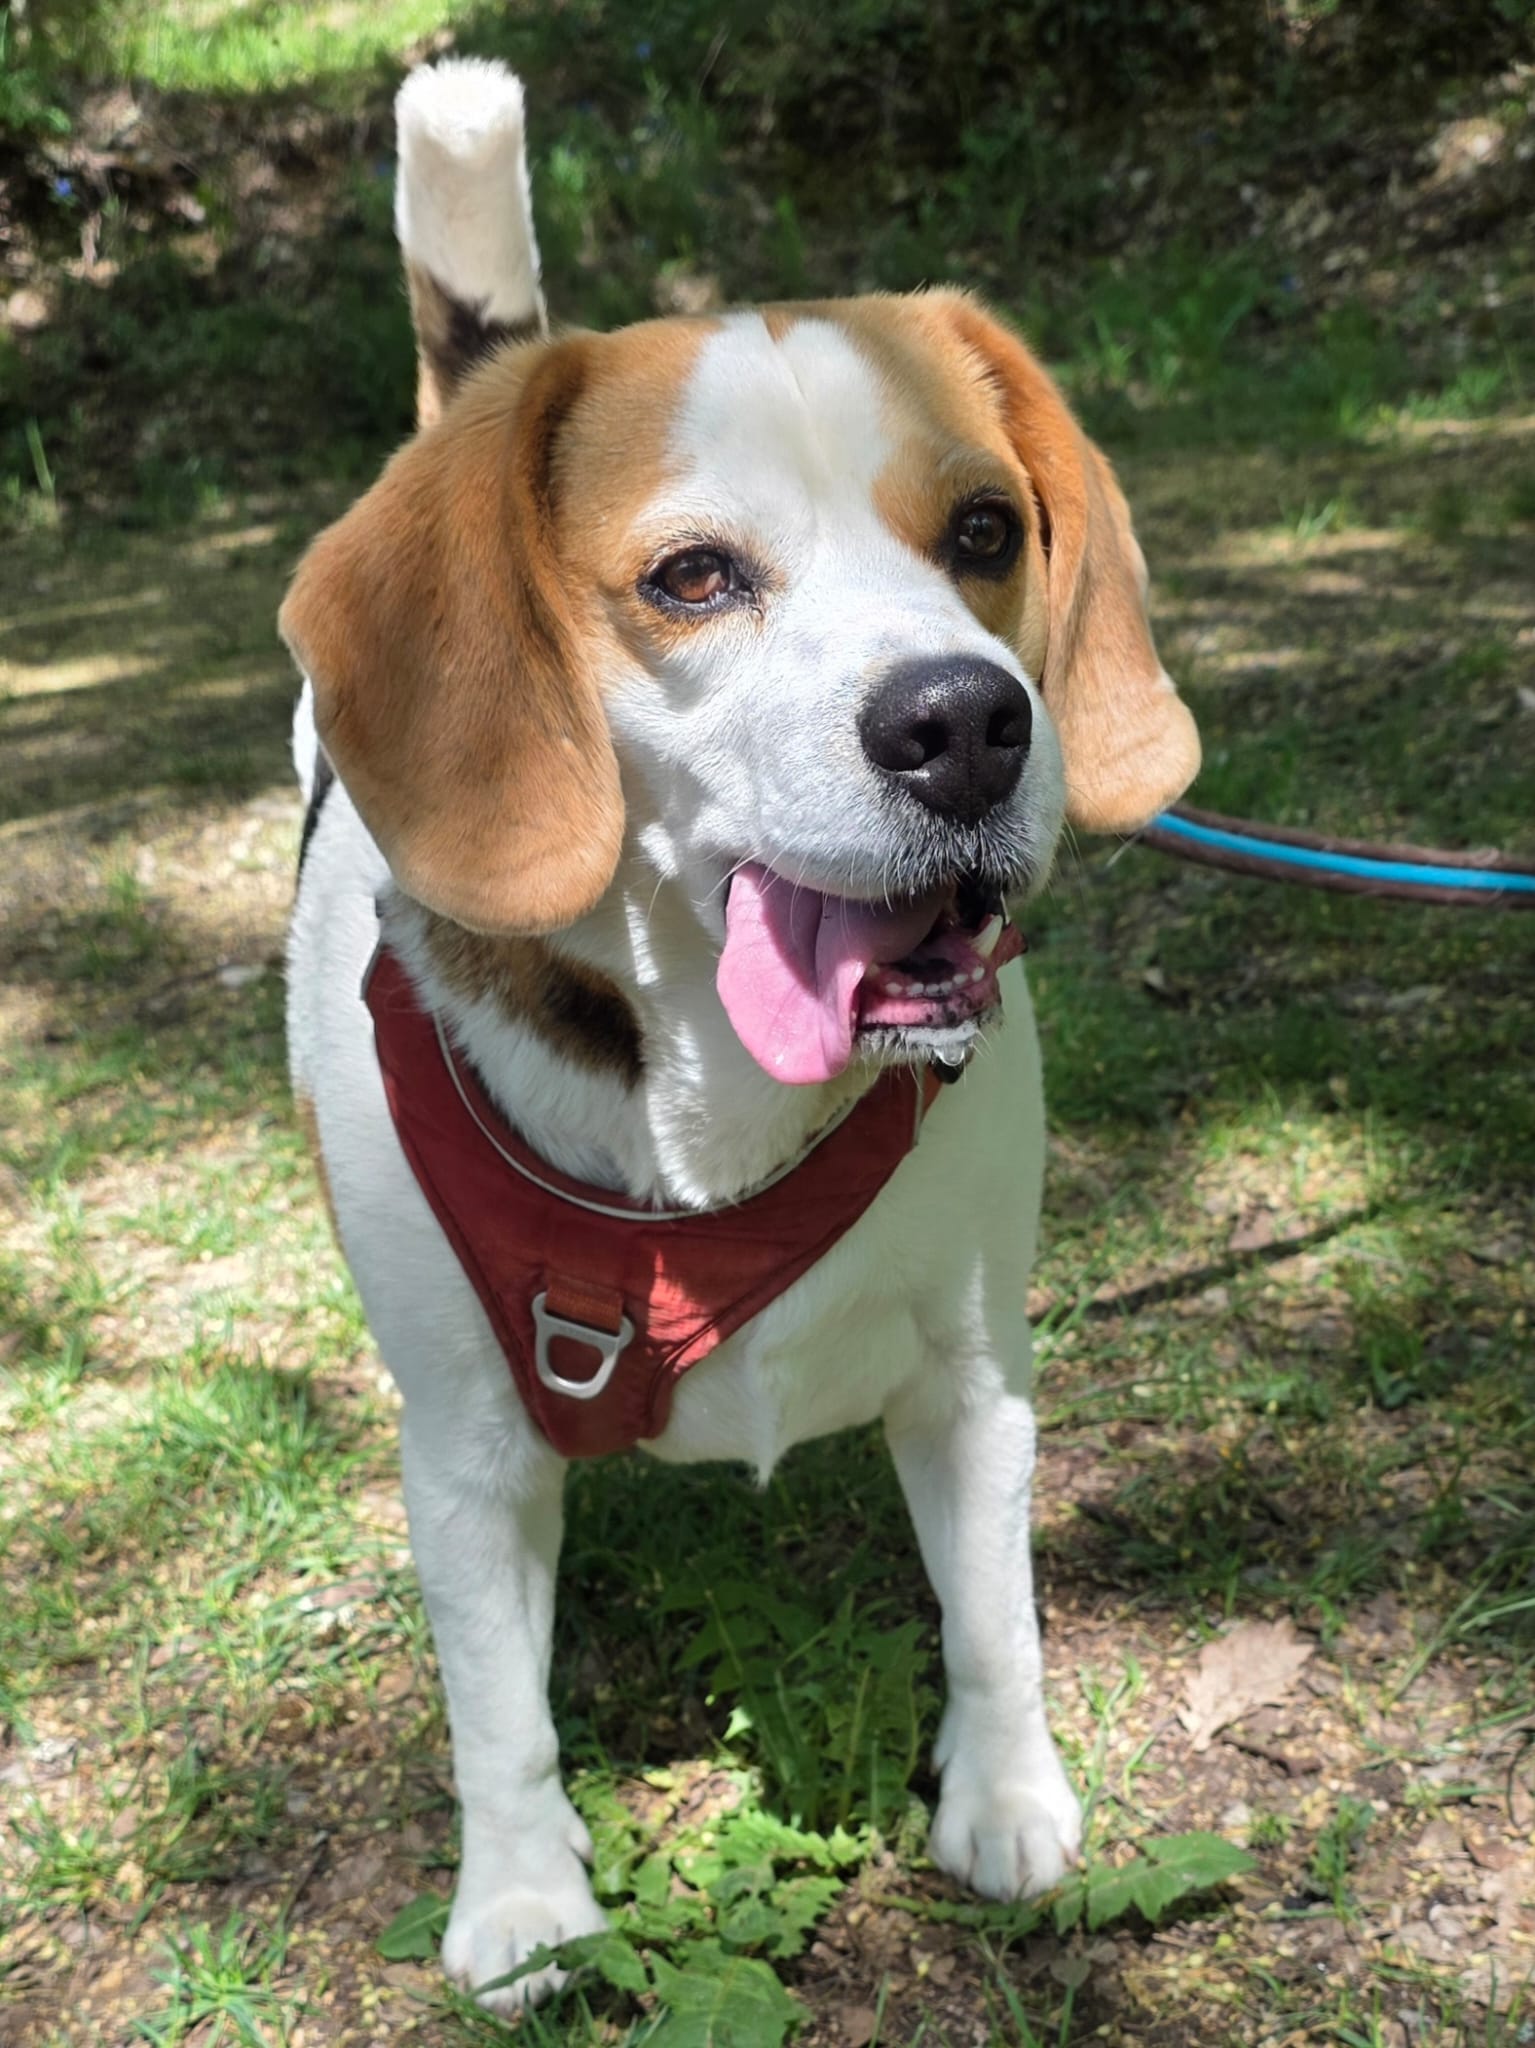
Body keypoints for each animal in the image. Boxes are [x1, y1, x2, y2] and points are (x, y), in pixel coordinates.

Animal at [282, 56, 1199, 2012]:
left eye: (986, 532)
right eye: (694, 577)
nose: (966, 724)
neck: (713, 1100)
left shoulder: (976, 1370)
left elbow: (994, 1612)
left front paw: (1005, 1794)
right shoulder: (462, 1443)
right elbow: (496, 1709)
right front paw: (523, 1897)